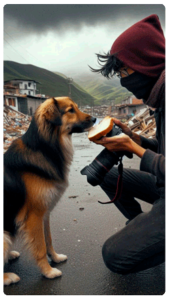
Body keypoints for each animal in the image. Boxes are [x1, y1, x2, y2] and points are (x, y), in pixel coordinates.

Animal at [2, 96, 95, 286]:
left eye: (76, 107)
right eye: (70, 110)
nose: (95, 119)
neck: (45, 148)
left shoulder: (45, 213)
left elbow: (48, 240)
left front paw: (56, 258)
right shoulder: (34, 216)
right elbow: (40, 247)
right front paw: (48, 271)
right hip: (4, 236)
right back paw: (9, 277)